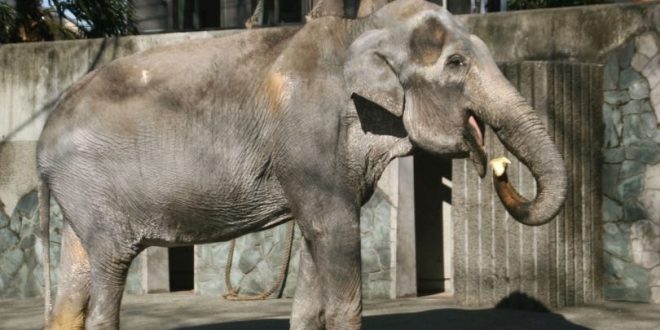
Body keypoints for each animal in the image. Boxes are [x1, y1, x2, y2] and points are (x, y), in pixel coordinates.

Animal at [37, 1, 568, 328]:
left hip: (80, 197)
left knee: (75, 279)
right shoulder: (310, 134)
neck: (362, 28)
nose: (499, 166)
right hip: (93, 187)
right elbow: (334, 229)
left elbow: (317, 242)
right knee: (111, 265)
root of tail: (43, 140)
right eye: (457, 64)